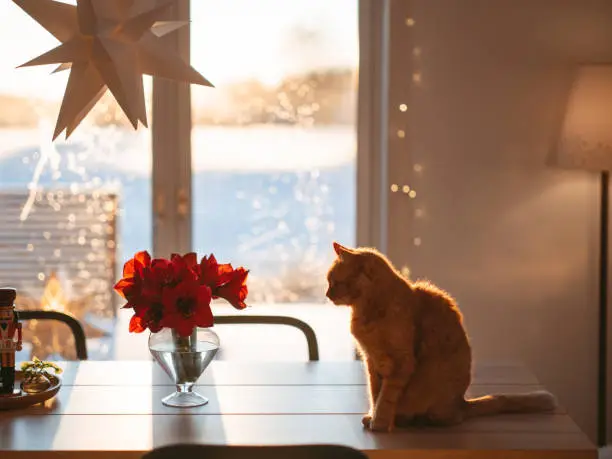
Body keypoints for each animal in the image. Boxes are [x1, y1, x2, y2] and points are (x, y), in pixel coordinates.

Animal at [328, 243, 556, 434]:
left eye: (335, 282)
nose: (327, 294)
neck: (369, 310)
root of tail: (462, 402)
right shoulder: (372, 362)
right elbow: (375, 395)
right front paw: (372, 416)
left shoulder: (401, 362)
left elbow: (386, 399)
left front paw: (380, 424)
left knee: (451, 419)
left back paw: (414, 420)